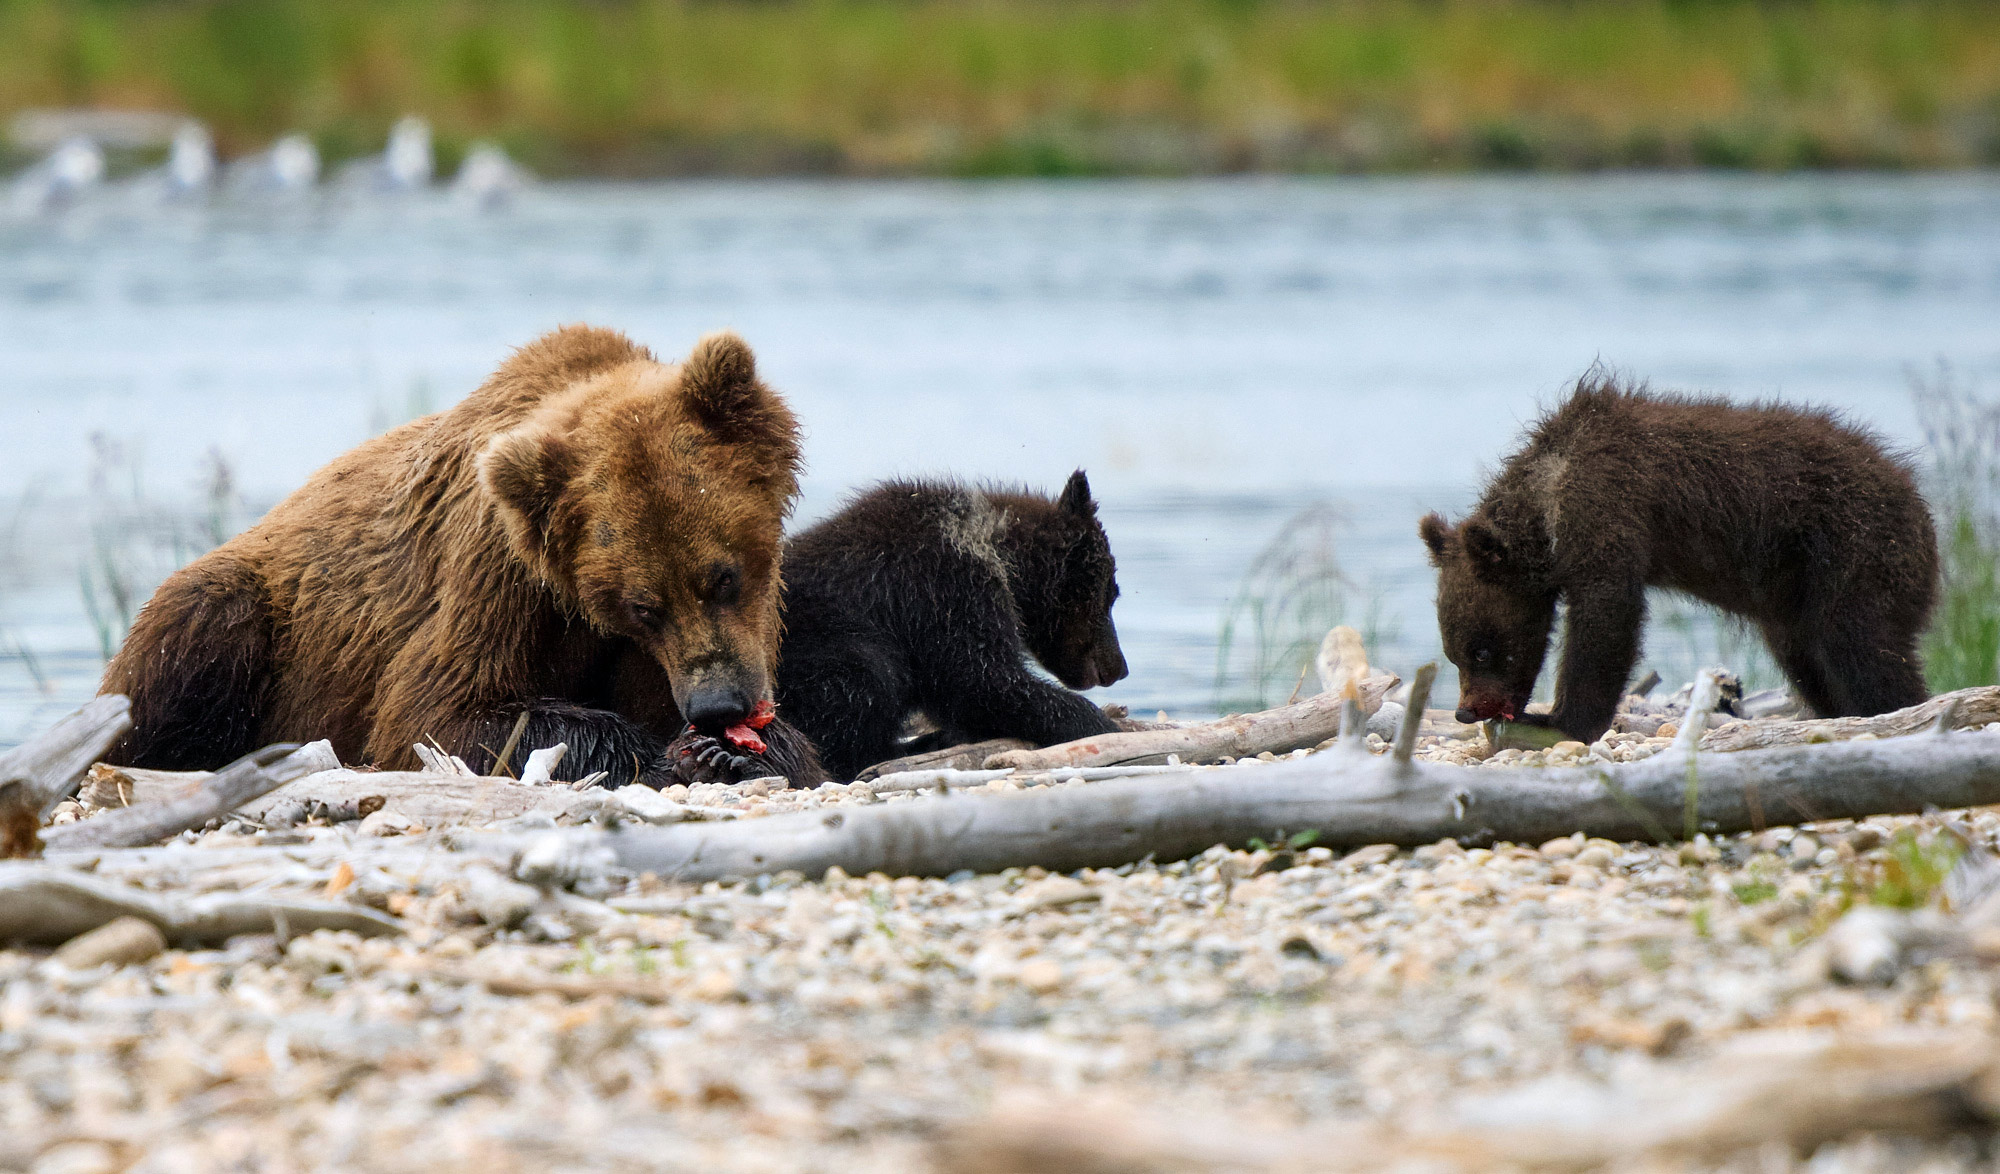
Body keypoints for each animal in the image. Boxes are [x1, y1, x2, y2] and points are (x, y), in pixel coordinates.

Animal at [101, 324, 829, 788]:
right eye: (644, 605)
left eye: (723, 576)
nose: (719, 706)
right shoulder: (495, 573)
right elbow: (438, 711)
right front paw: (657, 753)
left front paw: (745, 754)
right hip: (258, 618)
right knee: (193, 635)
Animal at [771, 472, 1129, 782]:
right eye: (1108, 596)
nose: (1119, 668)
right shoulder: (946, 589)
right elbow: (983, 684)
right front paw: (1102, 723)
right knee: (867, 679)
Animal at [1418, 376, 1938, 745]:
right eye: (1453, 651)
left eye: (1482, 650)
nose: (1466, 710)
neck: (1545, 502)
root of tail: (1921, 506)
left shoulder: (1606, 507)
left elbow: (1607, 618)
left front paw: (1559, 720)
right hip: (1796, 595)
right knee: (1808, 658)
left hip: (1857, 551)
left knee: (1859, 645)